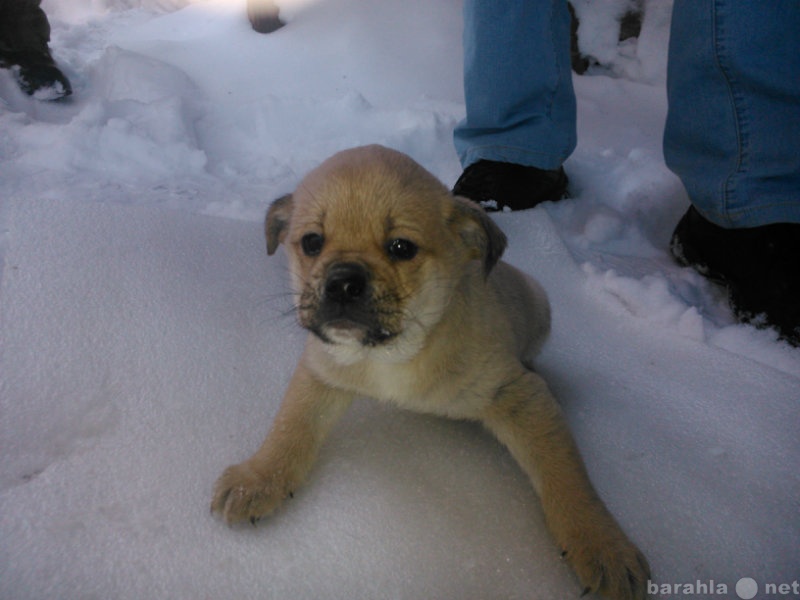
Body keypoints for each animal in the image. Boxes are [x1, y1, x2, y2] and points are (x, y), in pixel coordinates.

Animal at [212, 145, 648, 600]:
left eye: (401, 247)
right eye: (312, 242)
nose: (343, 282)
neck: (391, 355)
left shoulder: (517, 394)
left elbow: (566, 475)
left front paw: (603, 546)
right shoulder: (321, 370)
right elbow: (290, 428)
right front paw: (258, 479)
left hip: (541, 309)